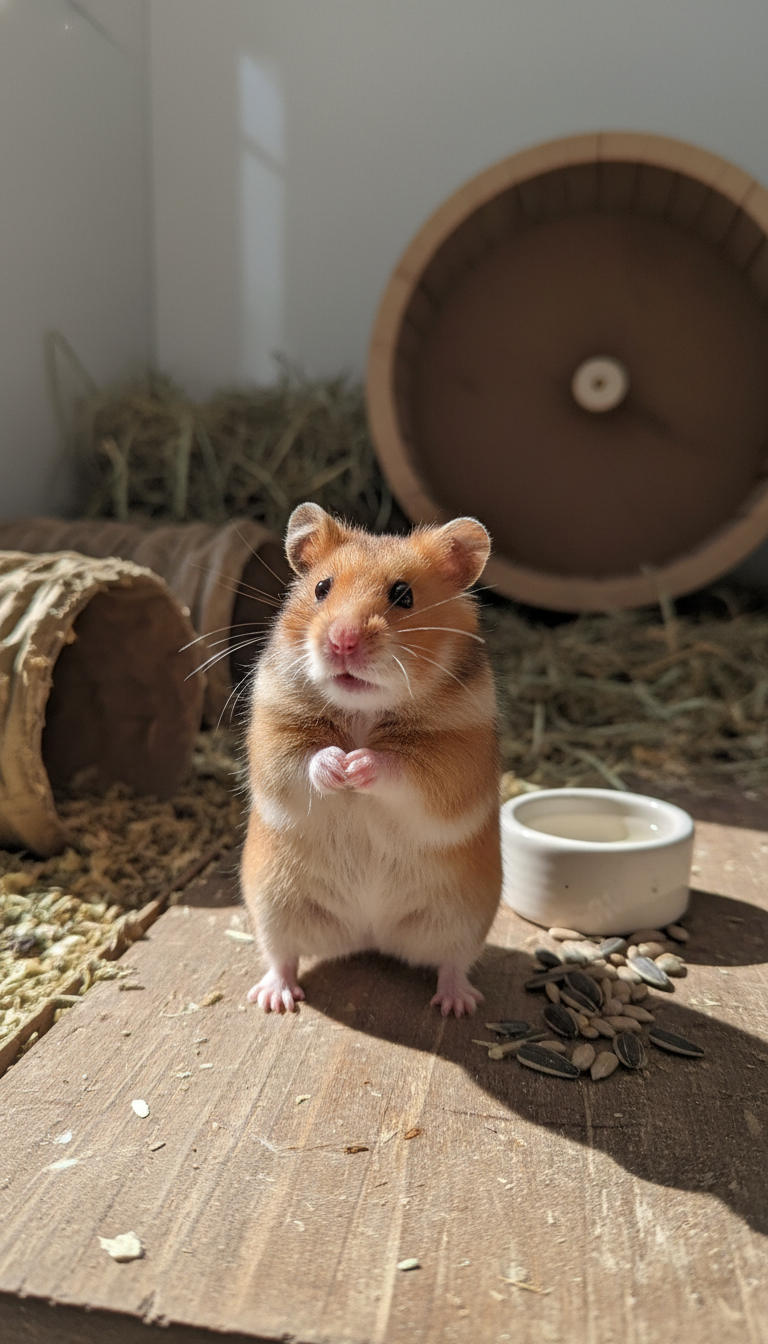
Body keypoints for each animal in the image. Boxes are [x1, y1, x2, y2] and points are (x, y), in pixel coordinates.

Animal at [240, 502, 502, 1017]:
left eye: (403, 595)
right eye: (321, 588)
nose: (341, 642)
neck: (363, 709)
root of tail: (370, 932)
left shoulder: (456, 759)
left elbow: (400, 768)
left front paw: (357, 765)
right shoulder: (273, 740)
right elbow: (304, 760)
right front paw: (338, 767)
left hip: (464, 916)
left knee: (453, 962)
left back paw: (457, 1006)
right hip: (273, 901)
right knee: (282, 955)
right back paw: (274, 999)